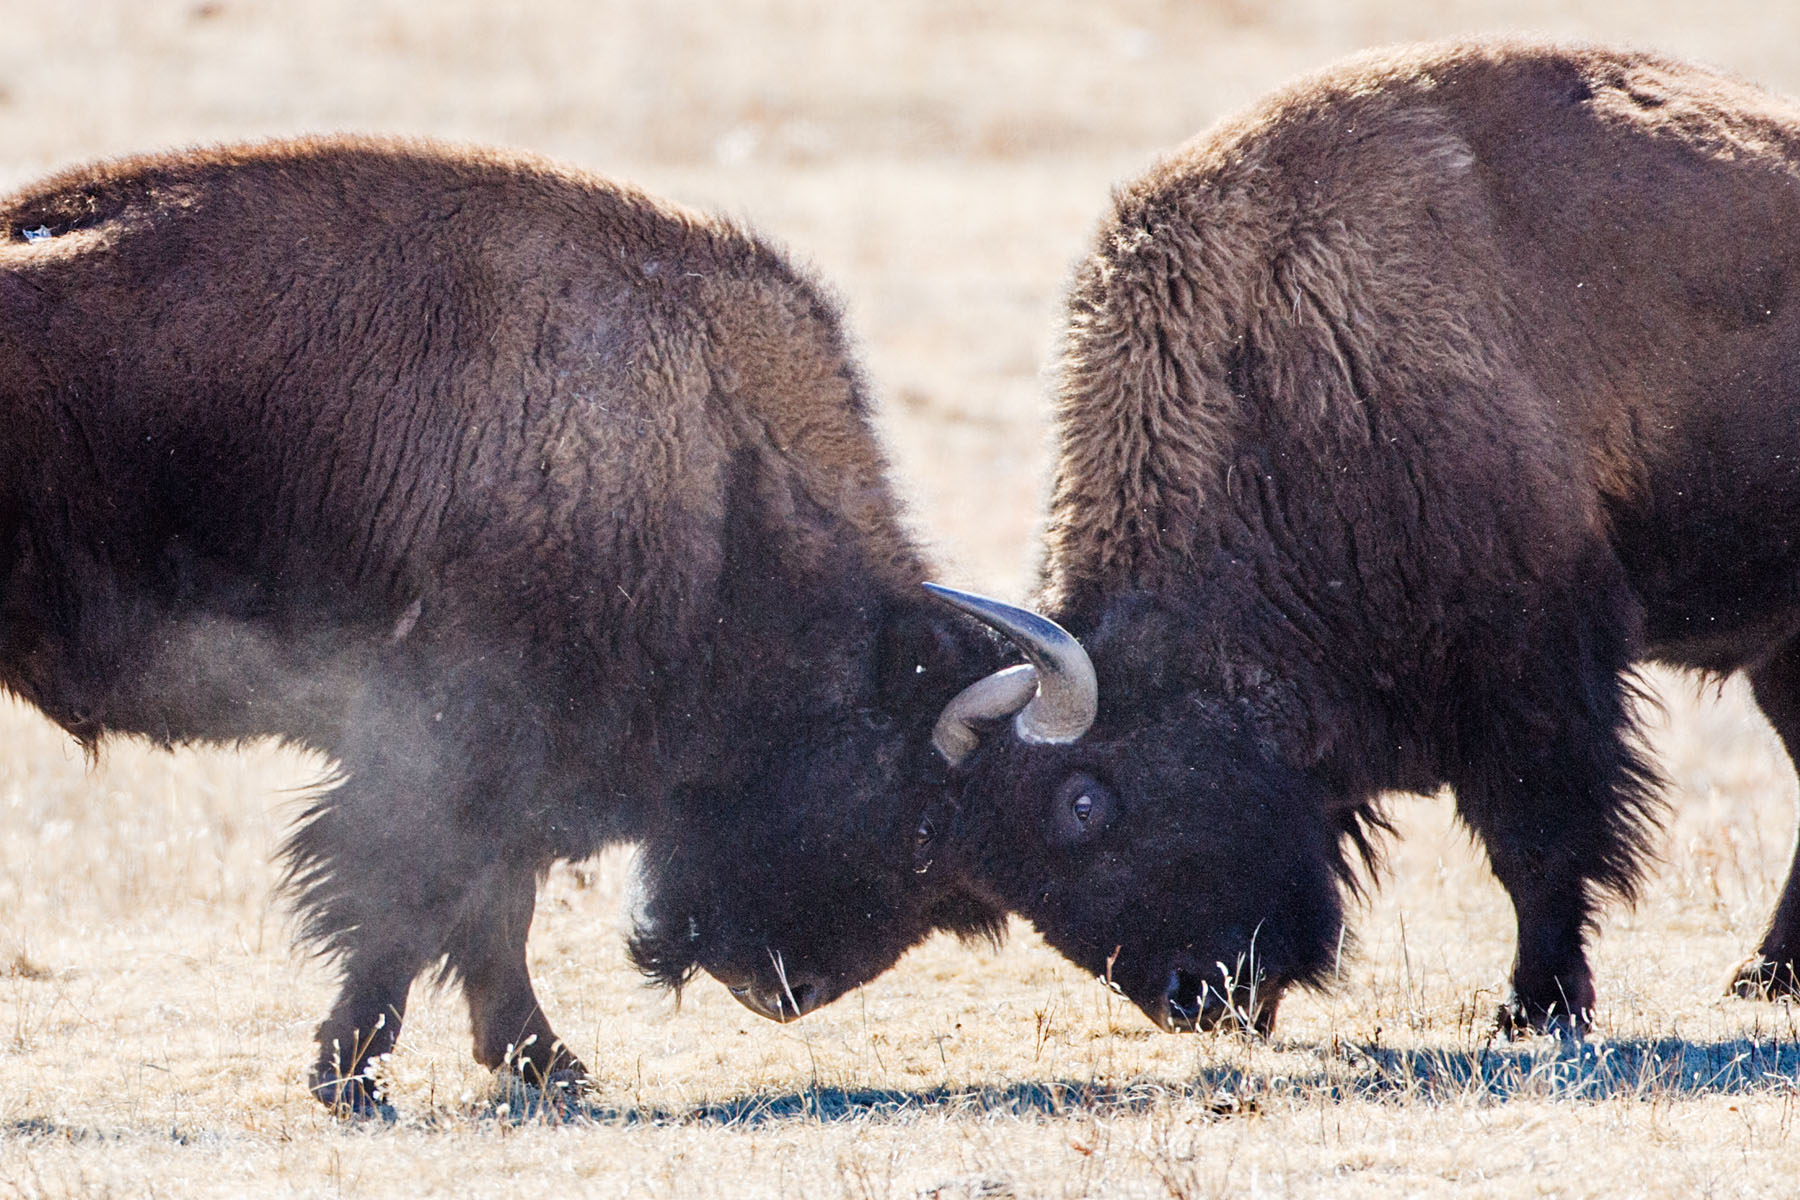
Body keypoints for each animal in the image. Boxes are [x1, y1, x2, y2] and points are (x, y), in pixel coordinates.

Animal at [0, 135, 1000, 1115]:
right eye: (919, 828)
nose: (786, 990)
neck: (717, 462)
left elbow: (485, 911)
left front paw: (541, 1066)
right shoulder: (462, 748)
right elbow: (415, 903)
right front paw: (356, 1078)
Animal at [698, 42, 1800, 1043]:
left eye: (1084, 802)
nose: (1199, 998)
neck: (1281, 368)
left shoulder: (1531, 671)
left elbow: (1537, 843)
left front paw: (1536, 1007)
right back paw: (1765, 975)